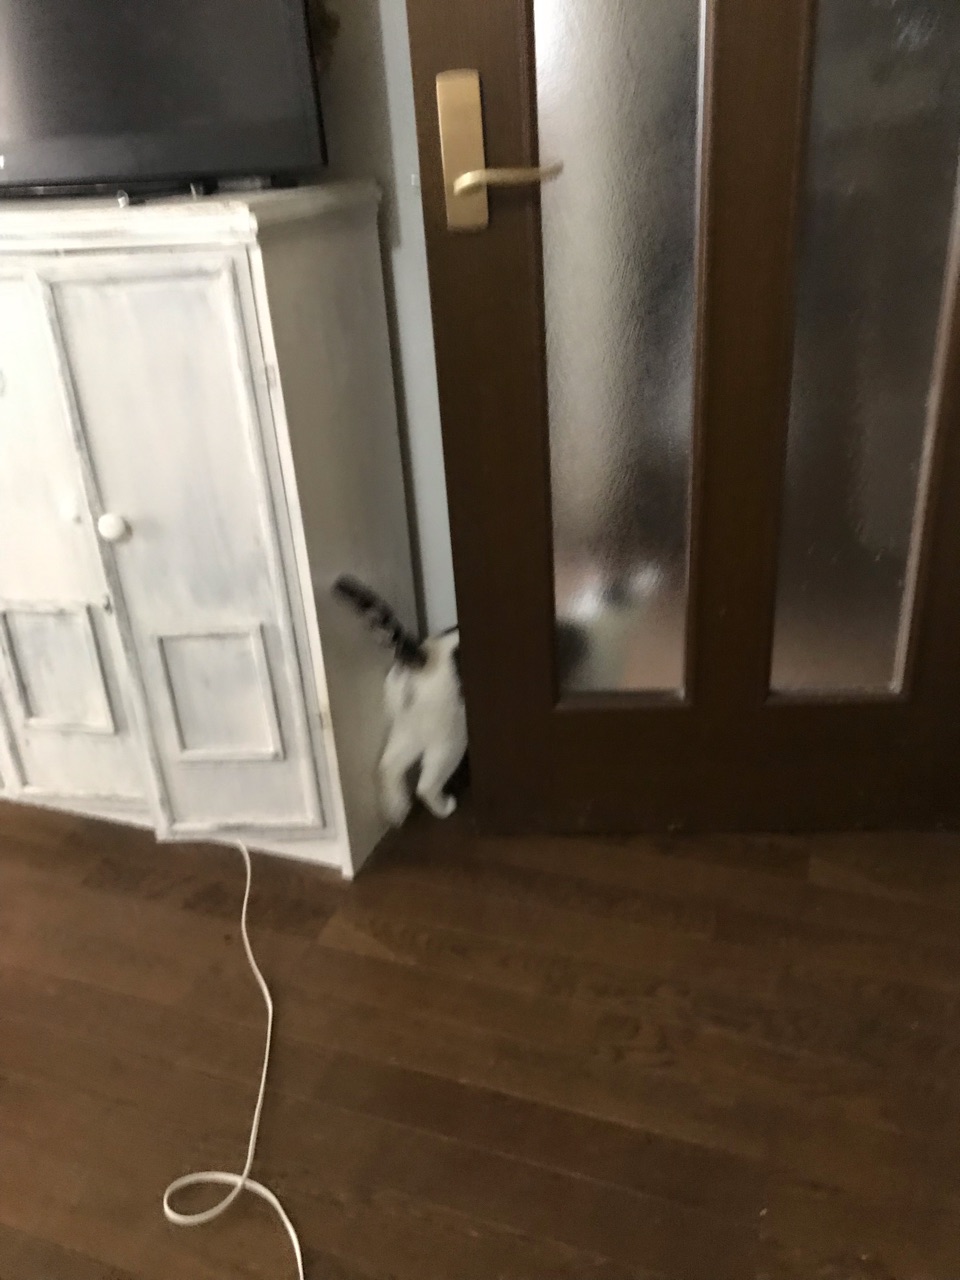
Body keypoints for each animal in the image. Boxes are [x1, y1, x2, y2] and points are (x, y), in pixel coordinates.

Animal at [333, 576, 467, 826]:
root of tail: (421, 656)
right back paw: (444, 808)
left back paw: (397, 811)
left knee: (388, 767)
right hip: (450, 737)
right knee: (426, 785)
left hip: (409, 729)